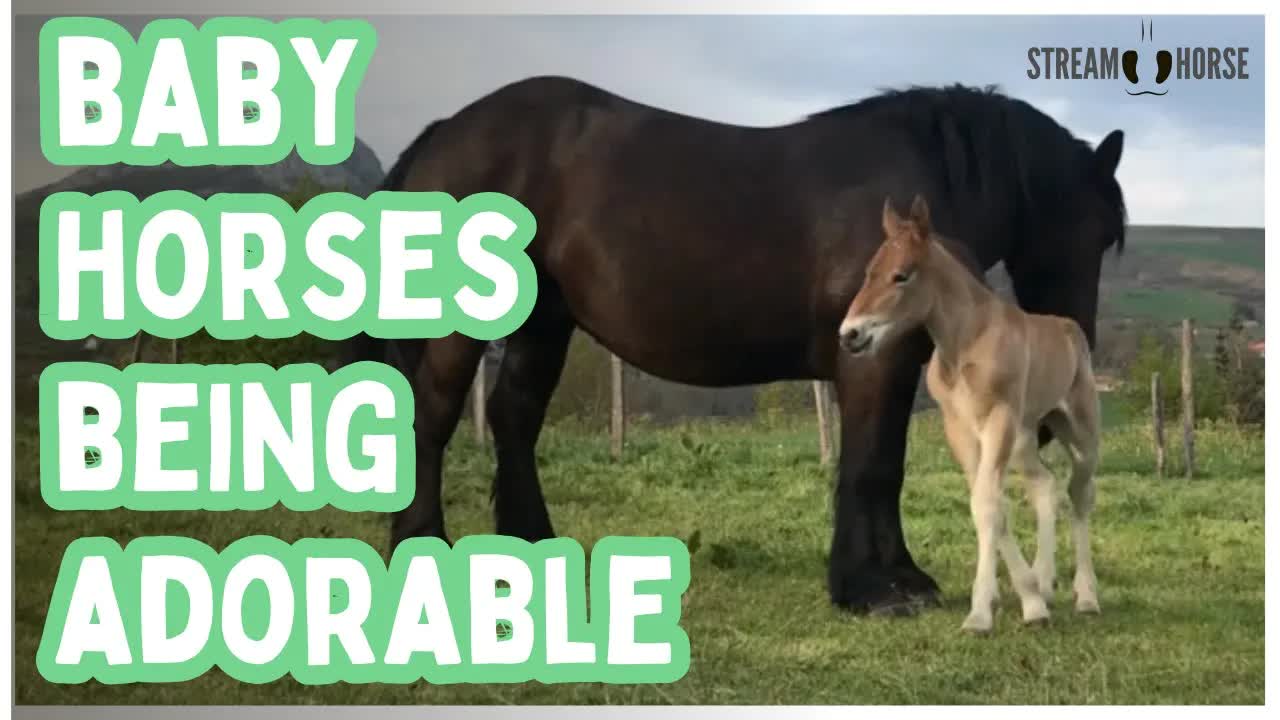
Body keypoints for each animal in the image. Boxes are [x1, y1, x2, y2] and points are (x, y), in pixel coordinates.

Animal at [839, 195, 1101, 633]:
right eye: (868, 272)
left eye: (901, 275)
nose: (850, 334)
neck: (966, 343)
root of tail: (1071, 329)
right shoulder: (961, 429)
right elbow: (988, 505)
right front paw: (1024, 599)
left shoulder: (998, 420)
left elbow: (989, 504)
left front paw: (986, 614)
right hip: (1025, 439)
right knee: (1044, 486)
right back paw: (1045, 581)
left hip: (1078, 432)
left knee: (1079, 493)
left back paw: (1087, 596)